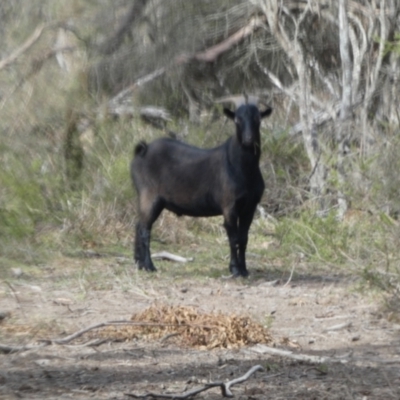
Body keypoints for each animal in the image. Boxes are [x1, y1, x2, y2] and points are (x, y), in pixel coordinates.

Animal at [130, 98, 272, 276]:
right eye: (237, 120)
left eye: (258, 119)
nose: (248, 139)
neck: (240, 167)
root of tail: (143, 149)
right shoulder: (229, 205)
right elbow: (233, 238)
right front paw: (234, 269)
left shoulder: (250, 206)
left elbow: (244, 238)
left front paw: (244, 270)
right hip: (149, 195)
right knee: (144, 228)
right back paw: (149, 266)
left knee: (138, 225)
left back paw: (139, 263)